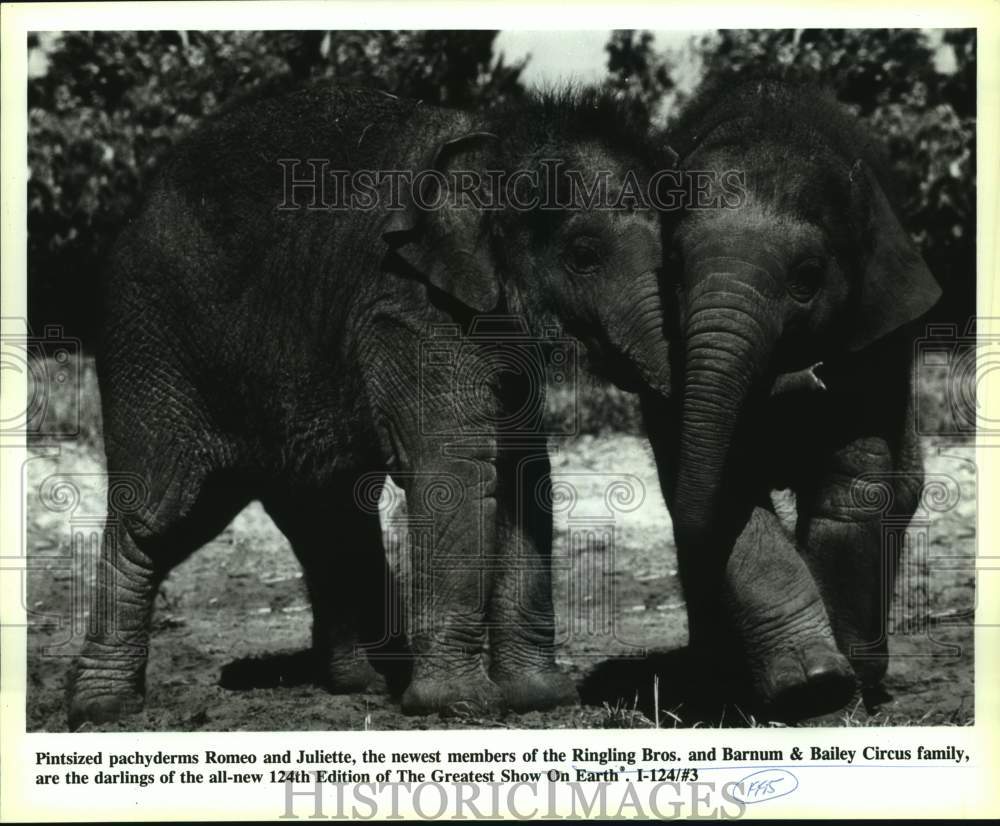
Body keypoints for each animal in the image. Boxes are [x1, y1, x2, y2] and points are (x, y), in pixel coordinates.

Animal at [62, 85, 676, 728]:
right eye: (584, 254)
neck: (499, 140)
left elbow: (520, 471)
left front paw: (540, 699)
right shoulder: (407, 308)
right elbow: (457, 470)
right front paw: (458, 707)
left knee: (325, 509)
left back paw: (363, 683)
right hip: (151, 343)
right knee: (164, 512)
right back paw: (102, 709)